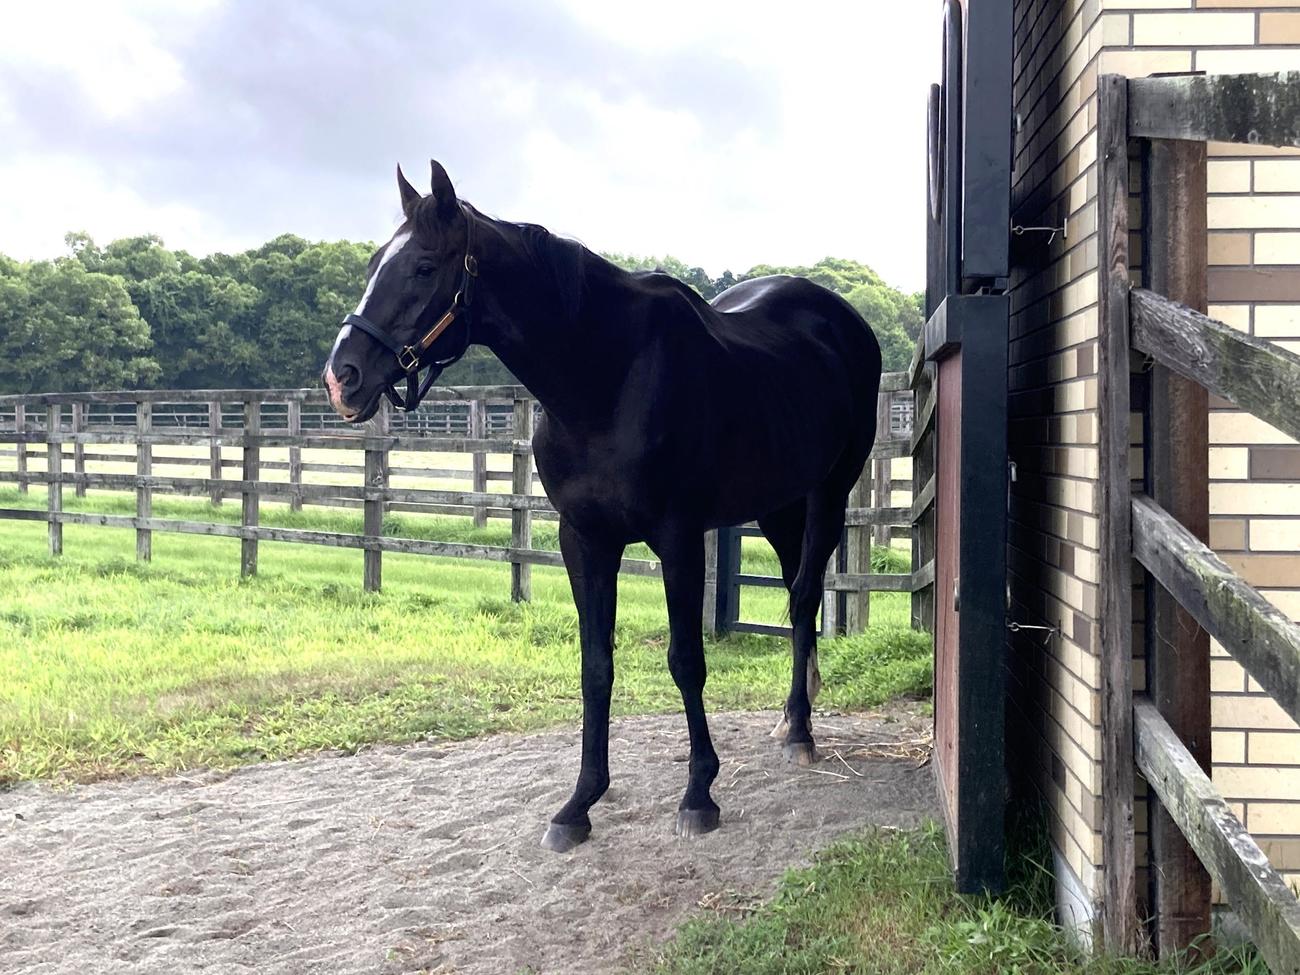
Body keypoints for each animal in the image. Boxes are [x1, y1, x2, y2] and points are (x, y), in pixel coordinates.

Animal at [322, 162, 882, 852]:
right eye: (377, 261)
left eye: (425, 267)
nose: (342, 377)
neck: (605, 376)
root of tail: (842, 320)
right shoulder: (584, 539)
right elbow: (596, 666)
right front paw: (580, 803)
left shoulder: (678, 537)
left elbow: (685, 661)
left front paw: (699, 794)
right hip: (780, 506)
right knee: (796, 595)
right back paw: (786, 719)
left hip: (830, 491)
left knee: (804, 598)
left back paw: (801, 733)